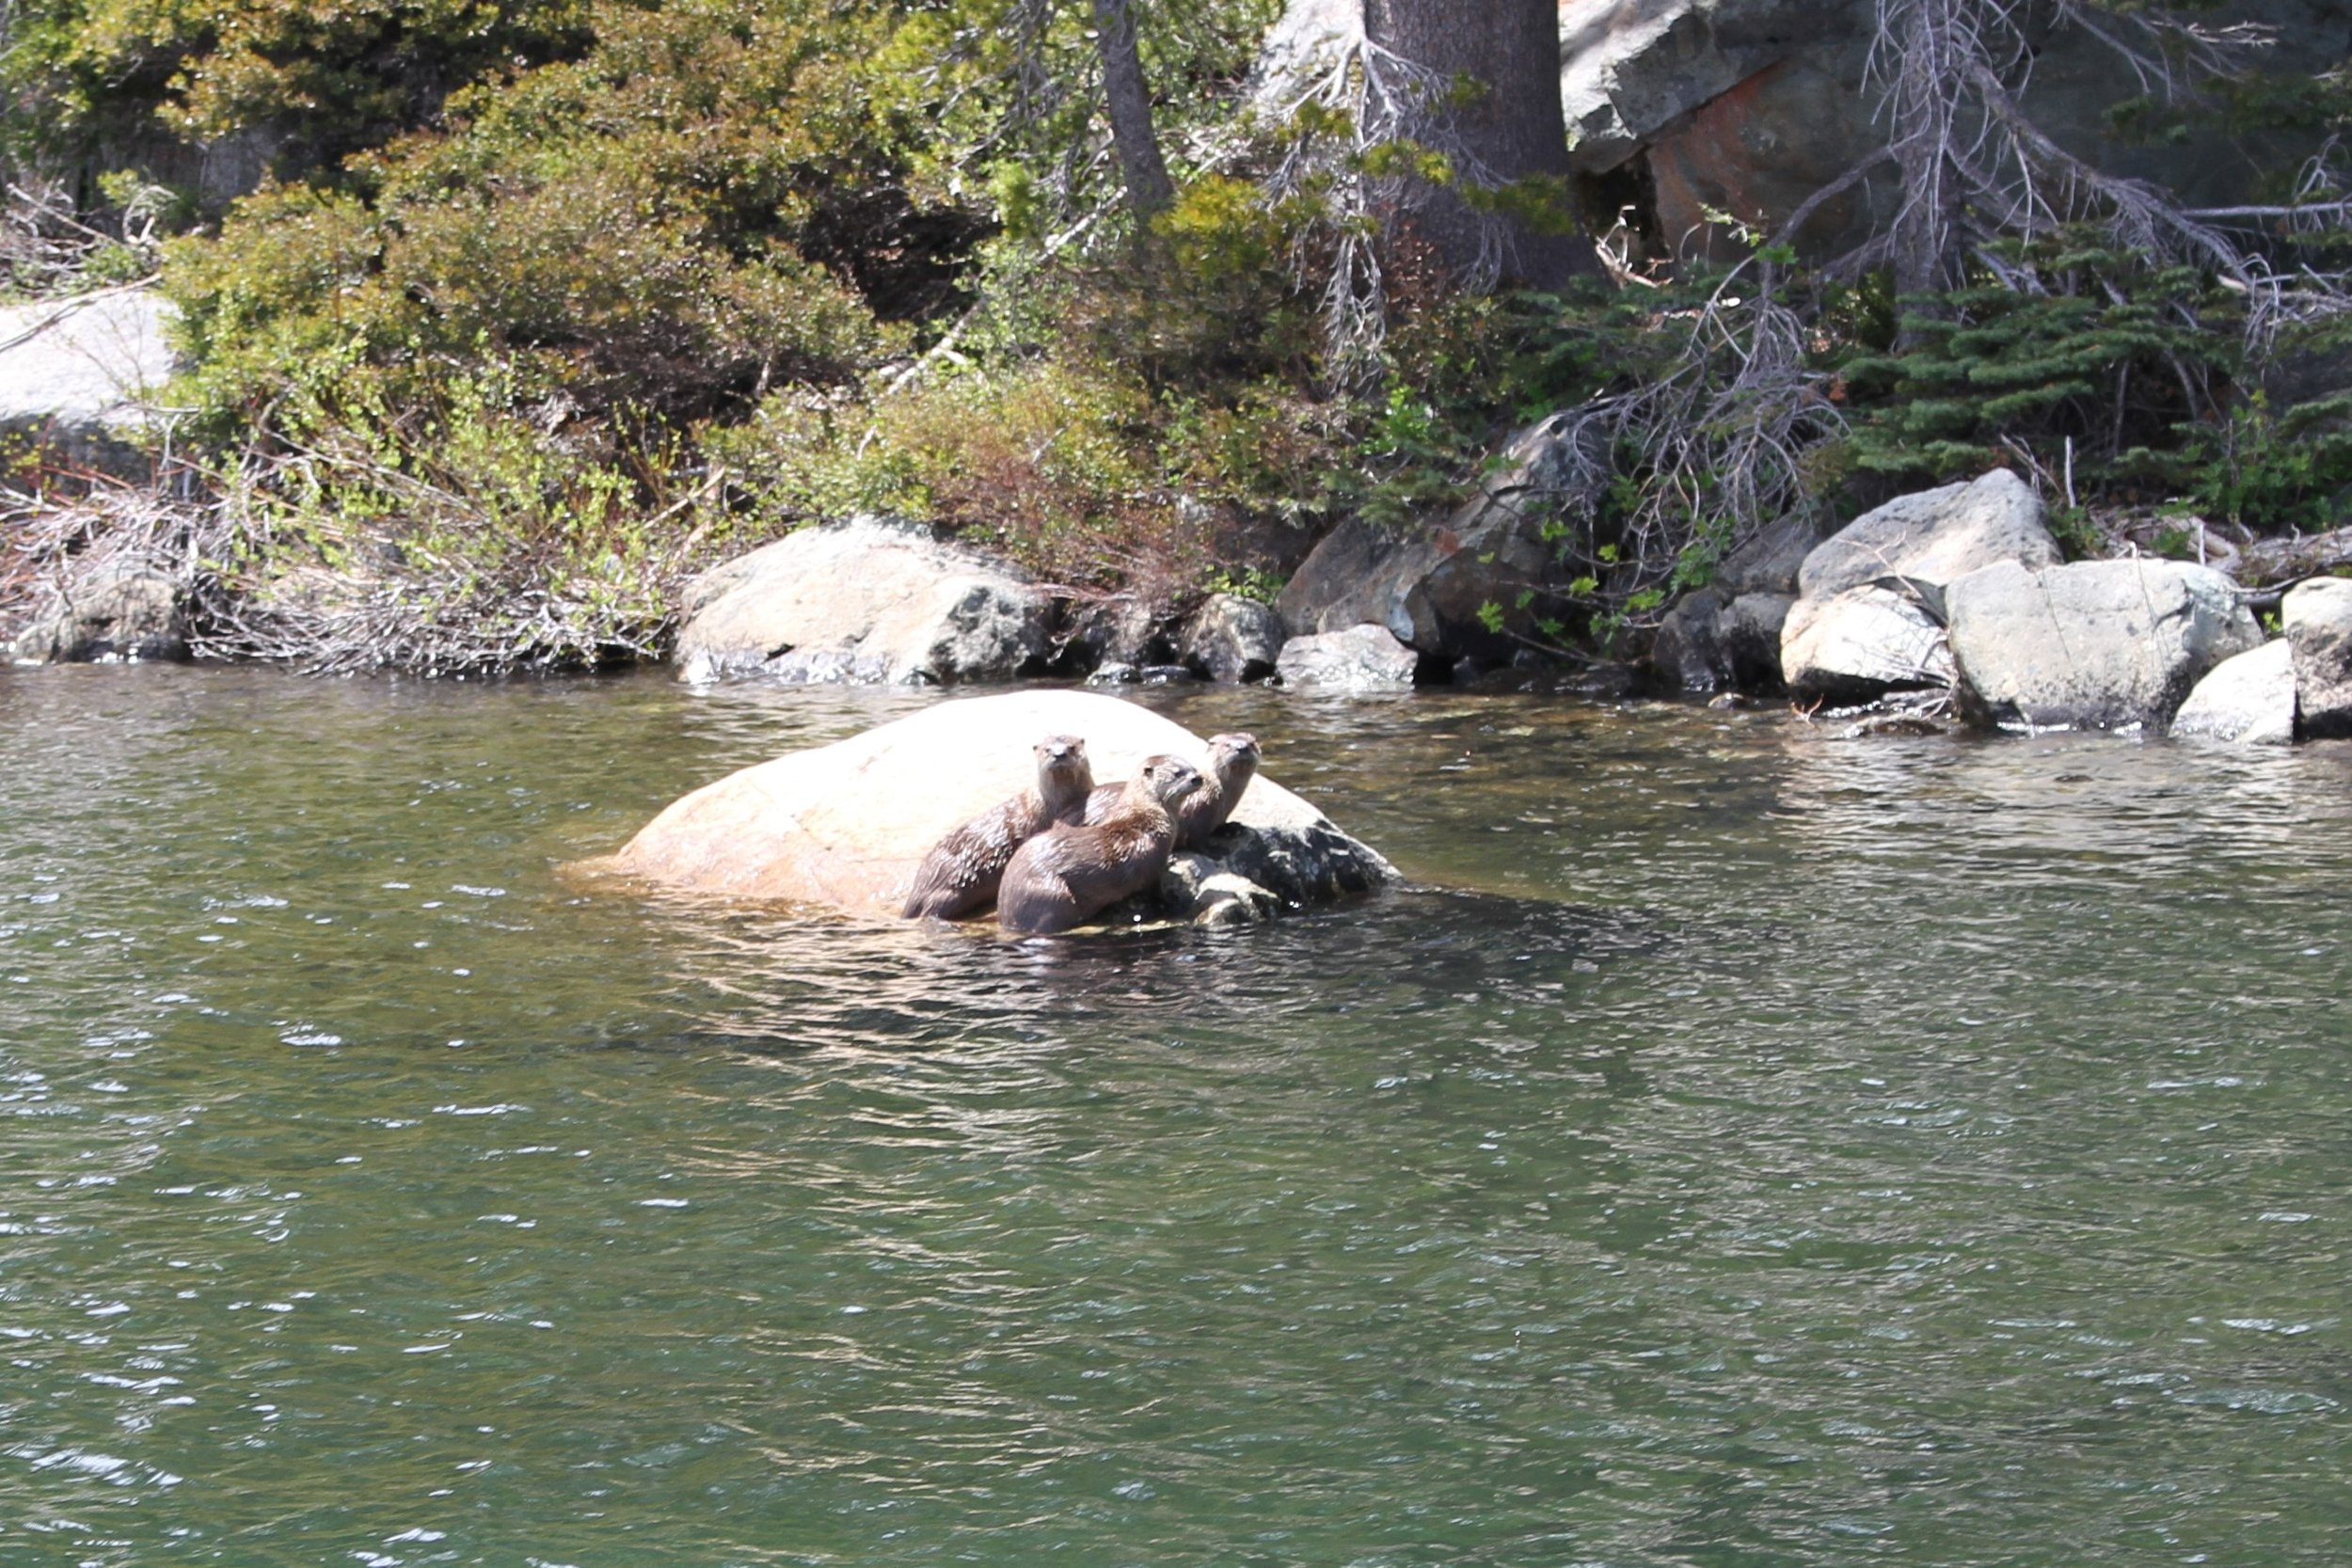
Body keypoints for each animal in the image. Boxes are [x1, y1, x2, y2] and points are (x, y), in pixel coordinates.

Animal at [898, 733, 1091, 921]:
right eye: (1047, 749)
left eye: (1072, 747)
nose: (1059, 754)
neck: (1051, 806)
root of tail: (917, 887)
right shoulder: (1030, 825)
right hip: (949, 883)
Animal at [997, 756, 1204, 940]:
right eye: (1178, 773)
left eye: (1193, 766)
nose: (1198, 778)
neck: (1148, 819)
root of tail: (1006, 912)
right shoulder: (1153, 864)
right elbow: (1155, 891)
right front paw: (1171, 904)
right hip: (1051, 895)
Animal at [1087, 733, 1270, 850]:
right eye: (1227, 745)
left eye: (1252, 744)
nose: (1241, 747)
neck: (1223, 796)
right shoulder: (1199, 811)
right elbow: (1197, 838)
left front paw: (1231, 828)